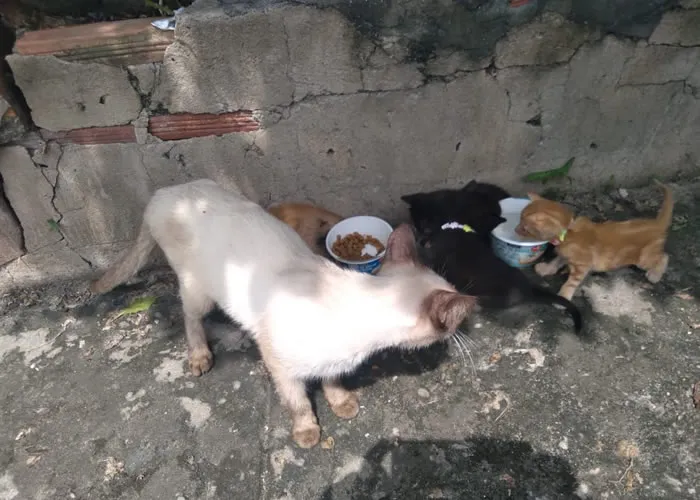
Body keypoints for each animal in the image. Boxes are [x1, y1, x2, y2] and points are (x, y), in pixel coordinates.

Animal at [93, 181, 476, 450]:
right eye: (456, 322)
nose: (465, 329)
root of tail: (164, 192)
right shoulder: (277, 361)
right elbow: (298, 402)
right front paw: (307, 432)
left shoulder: (332, 361)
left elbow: (332, 380)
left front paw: (340, 403)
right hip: (197, 289)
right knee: (190, 317)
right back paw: (199, 355)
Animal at [516, 181, 672, 300]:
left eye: (524, 228)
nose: (515, 230)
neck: (568, 232)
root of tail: (657, 223)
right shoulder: (566, 254)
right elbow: (557, 260)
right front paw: (546, 269)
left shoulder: (583, 265)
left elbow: (571, 282)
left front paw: (564, 296)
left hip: (643, 259)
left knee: (664, 256)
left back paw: (655, 274)